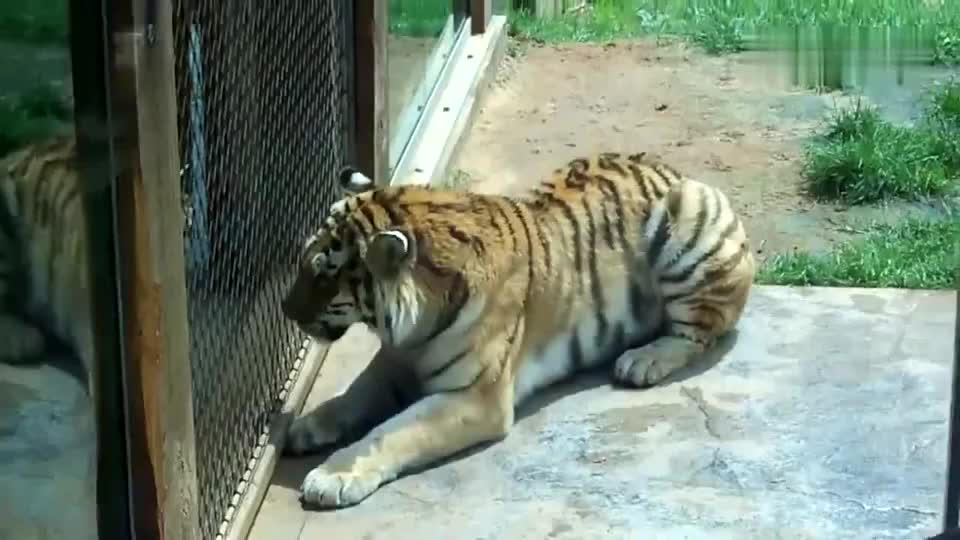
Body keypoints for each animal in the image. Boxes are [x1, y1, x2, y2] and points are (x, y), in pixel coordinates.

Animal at [280, 151, 755, 509]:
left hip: (690, 224)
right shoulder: (394, 363)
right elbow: (351, 397)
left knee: (700, 331)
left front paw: (332, 475)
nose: (285, 309)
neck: (412, 327)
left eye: (324, 275)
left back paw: (643, 361)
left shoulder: (477, 397)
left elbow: (390, 433)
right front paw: (304, 428)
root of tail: (673, 170)